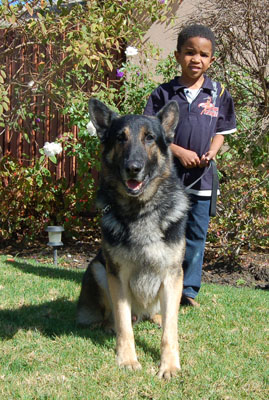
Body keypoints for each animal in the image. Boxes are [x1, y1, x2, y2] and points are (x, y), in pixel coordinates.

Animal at [76, 98, 187, 380]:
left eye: (149, 138)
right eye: (120, 138)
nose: (133, 168)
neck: (141, 211)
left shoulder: (172, 274)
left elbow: (170, 331)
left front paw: (169, 365)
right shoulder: (117, 275)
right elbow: (124, 324)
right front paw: (127, 359)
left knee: (161, 314)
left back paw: (156, 317)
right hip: (98, 269)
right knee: (117, 317)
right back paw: (110, 325)